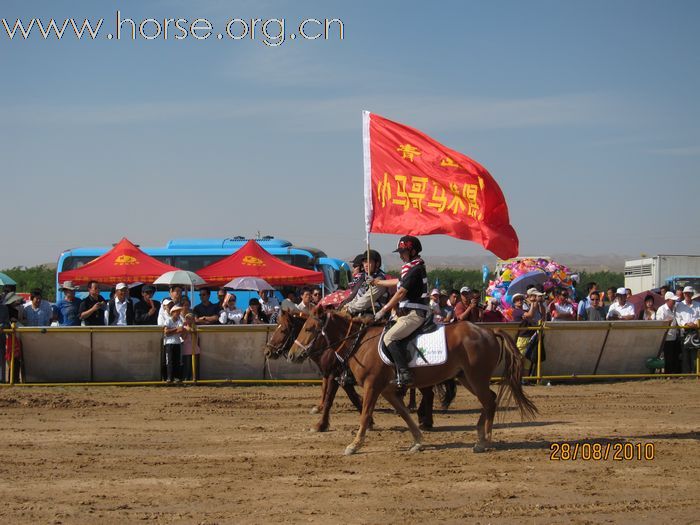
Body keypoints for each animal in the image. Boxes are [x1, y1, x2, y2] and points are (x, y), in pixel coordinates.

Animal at [288, 310, 536, 452]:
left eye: (309, 328)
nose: (291, 355)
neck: (360, 343)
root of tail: (488, 332)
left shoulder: (372, 386)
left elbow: (365, 414)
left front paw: (355, 444)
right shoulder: (387, 390)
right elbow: (404, 414)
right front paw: (417, 441)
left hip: (476, 377)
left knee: (489, 401)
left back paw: (485, 441)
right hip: (467, 377)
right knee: (489, 400)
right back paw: (480, 434)